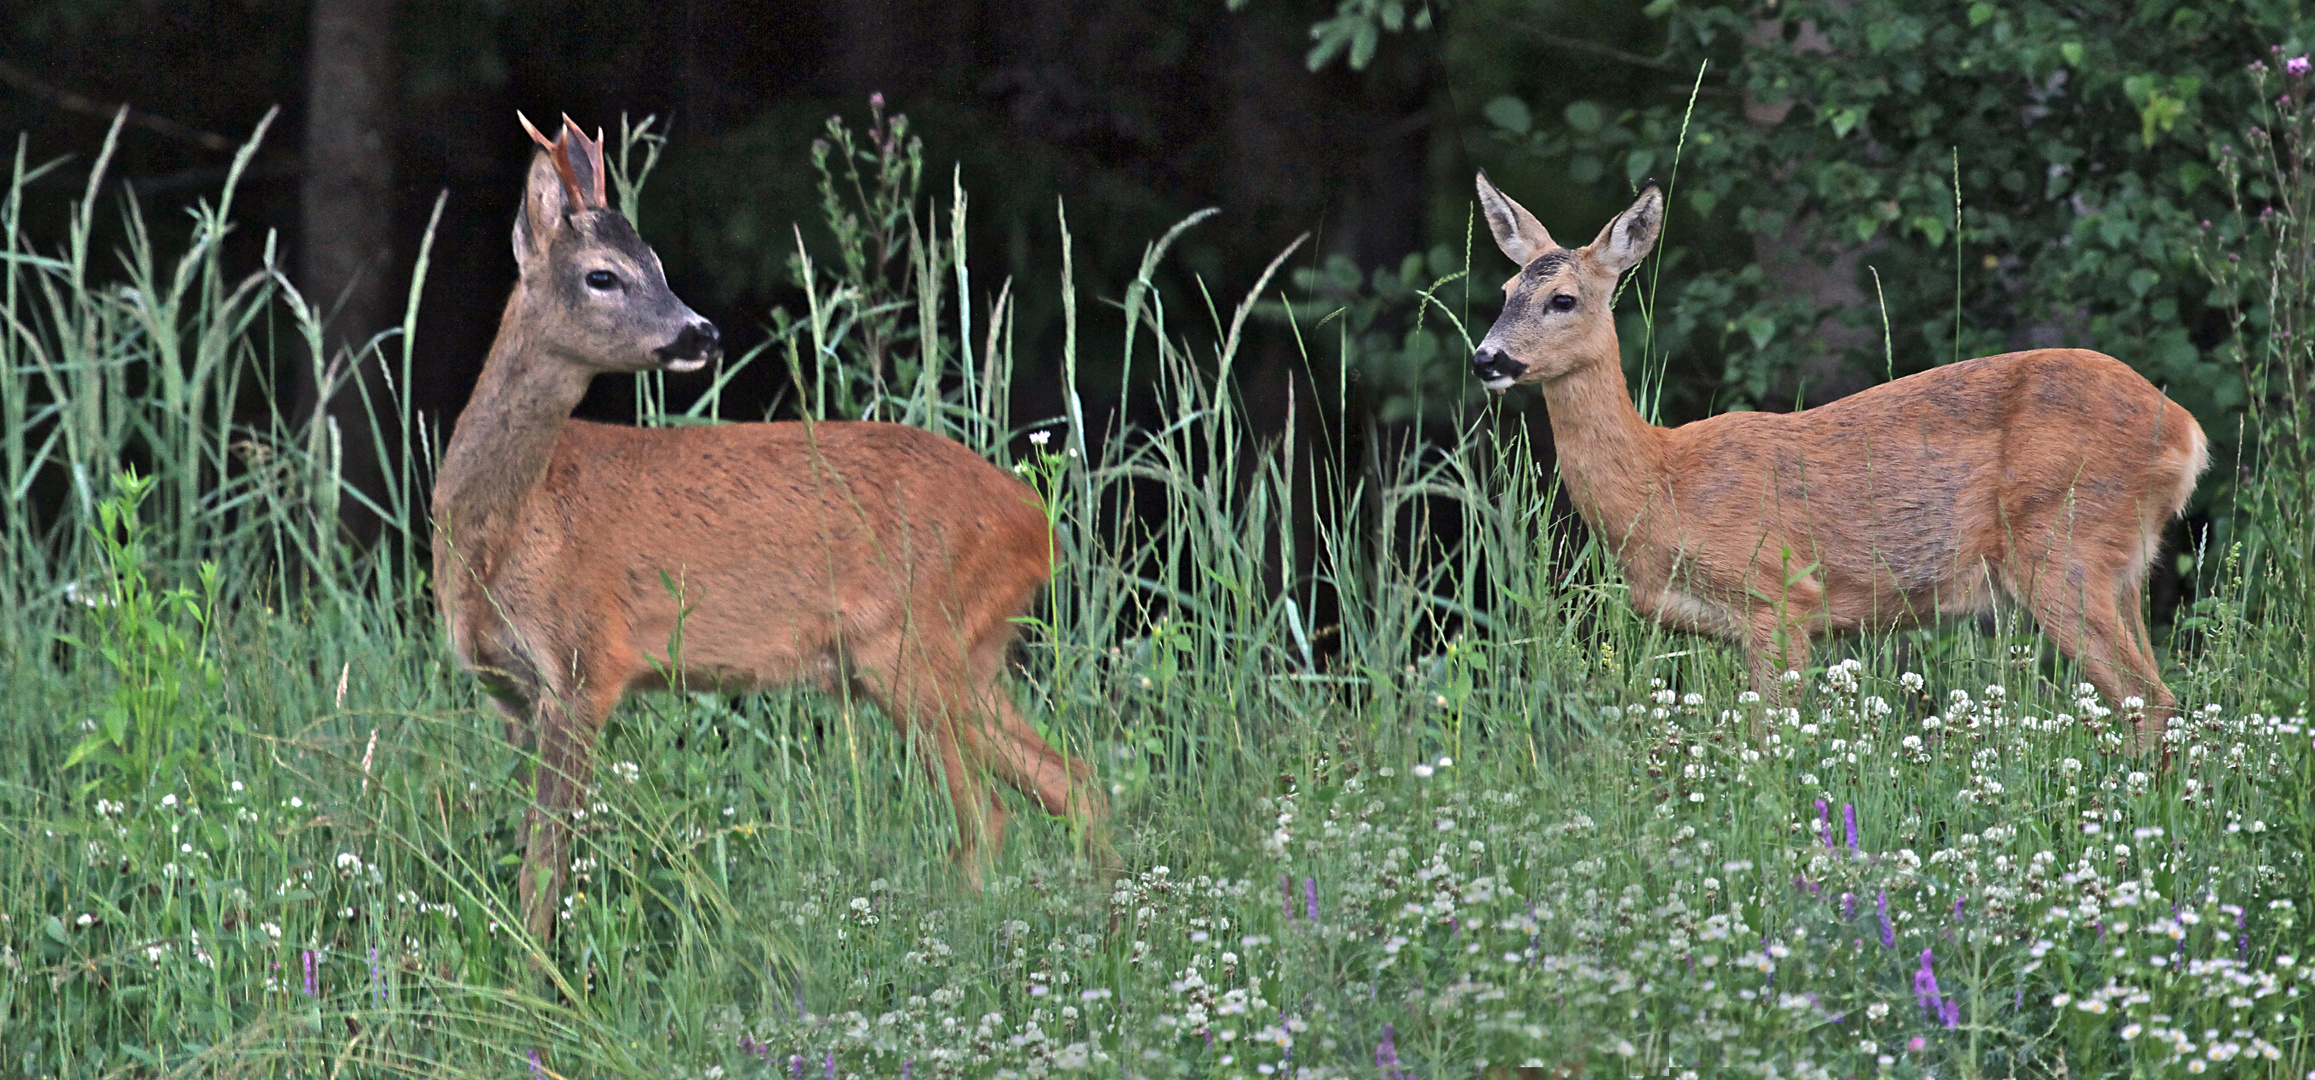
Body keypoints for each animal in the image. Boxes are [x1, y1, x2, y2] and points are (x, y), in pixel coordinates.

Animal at [437, 118, 1115, 943]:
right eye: (604, 276)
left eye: (656, 264)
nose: (703, 332)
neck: (506, 529)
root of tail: (1036, 524)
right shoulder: (510, 695)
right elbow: (526, 851)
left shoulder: (585, 665)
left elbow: (543, 868)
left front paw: (535, 971)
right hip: (969, 657)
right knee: (1075, 783)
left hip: (915, 646)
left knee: (986, 816)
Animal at [1463, 173, 2203, 749]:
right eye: (1502, 292)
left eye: (1563, 298)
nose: (1486, 359)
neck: (1662, 478)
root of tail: (2187, 432)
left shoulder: (1780, 595)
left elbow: (1772, 744)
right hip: (2119, 565)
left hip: (2063, 546)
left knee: (2150, 698)